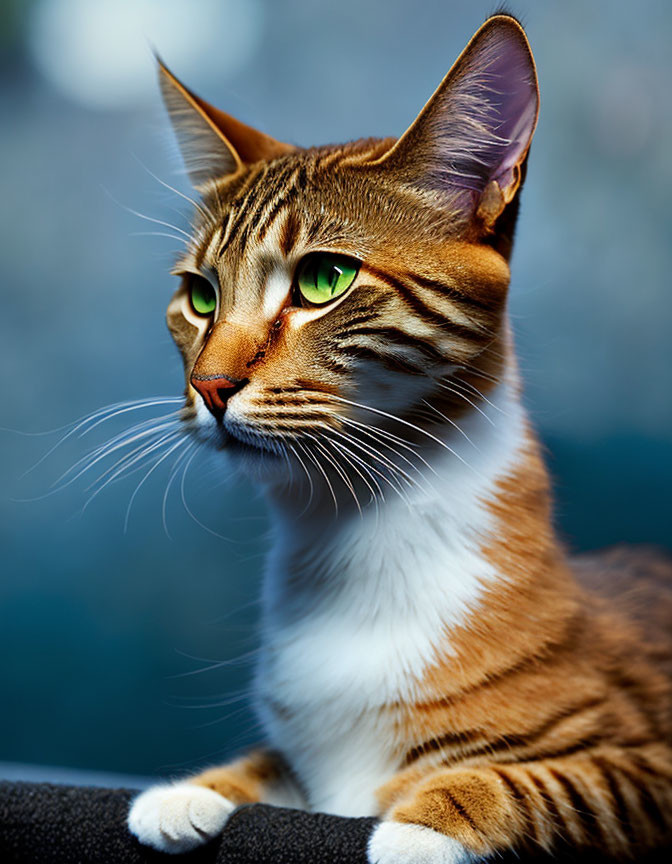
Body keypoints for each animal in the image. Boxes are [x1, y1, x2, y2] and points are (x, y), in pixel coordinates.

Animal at [127, 13, 672, 864]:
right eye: (200, 295)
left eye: (323, 280)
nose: (209, 386)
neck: (353, 530)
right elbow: (276, 760)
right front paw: (195, 790)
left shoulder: (643, 758)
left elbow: (549, 781)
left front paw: (426, 822)